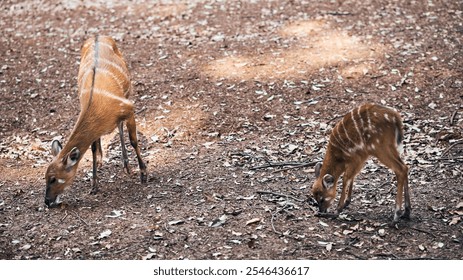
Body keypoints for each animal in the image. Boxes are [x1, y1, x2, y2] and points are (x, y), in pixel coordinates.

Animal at [44, 35, 148, 207]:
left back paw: (127, 165)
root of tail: (98, 35)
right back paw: (103, 160)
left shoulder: (129, 108)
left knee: (120, 128)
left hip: (128, 94)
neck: (96, 105)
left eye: (53, 179)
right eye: (45, 177)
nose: (47, 201)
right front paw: (94, 185)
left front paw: (144, 173)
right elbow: (92, 148)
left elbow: (133, 140)